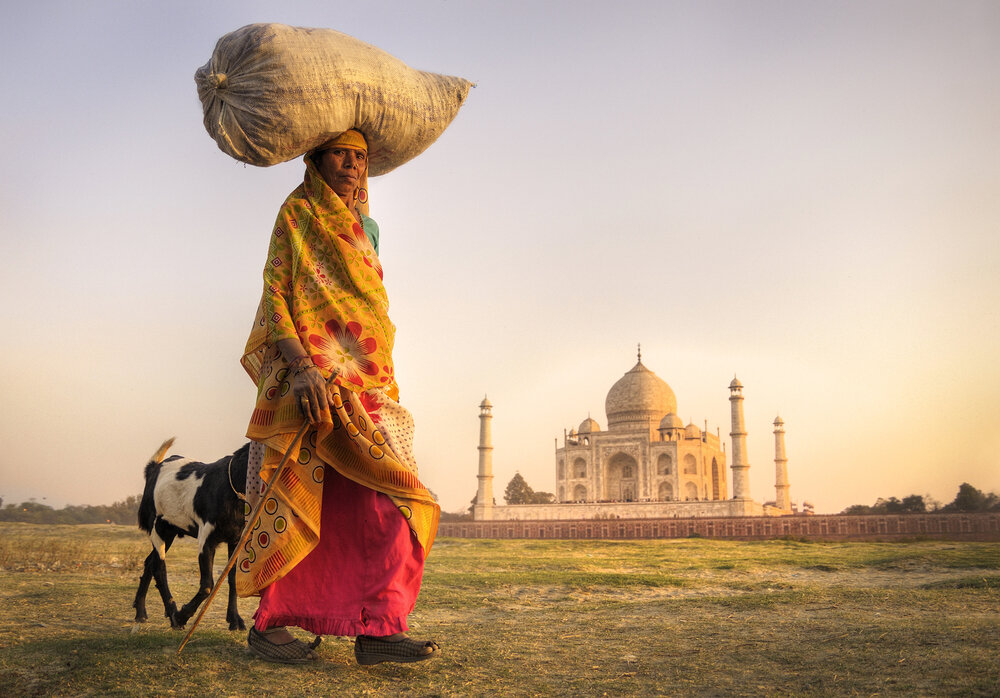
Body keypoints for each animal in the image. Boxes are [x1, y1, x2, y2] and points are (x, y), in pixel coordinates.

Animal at [132, 438, 249, 628]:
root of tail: (153, 468)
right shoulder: (206, 540)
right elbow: (207, 584)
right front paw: (182, 615)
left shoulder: (236, 540)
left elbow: (232, 579)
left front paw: (234, 619)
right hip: (157, 529)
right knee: (159, 568)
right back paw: (172, 613)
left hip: (170, 532)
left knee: (150, 562)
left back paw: (141, 611)